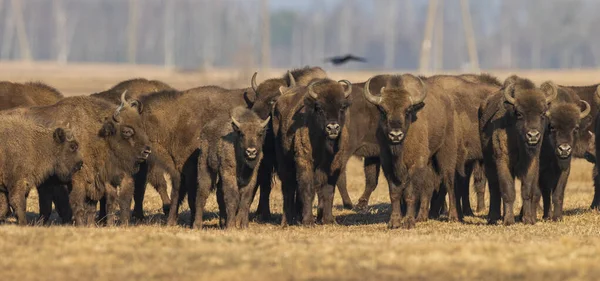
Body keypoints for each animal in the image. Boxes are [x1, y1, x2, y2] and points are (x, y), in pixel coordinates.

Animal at [478, 75, 556, 224]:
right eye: (519, 113)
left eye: (543, 113)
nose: (533, 135)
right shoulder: (503, 160)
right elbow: (508, 190)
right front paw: (508, 220)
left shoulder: (533, 162)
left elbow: (527, 190)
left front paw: (528, 219)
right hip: (489, 163)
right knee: (494, 188)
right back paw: (494, 217)